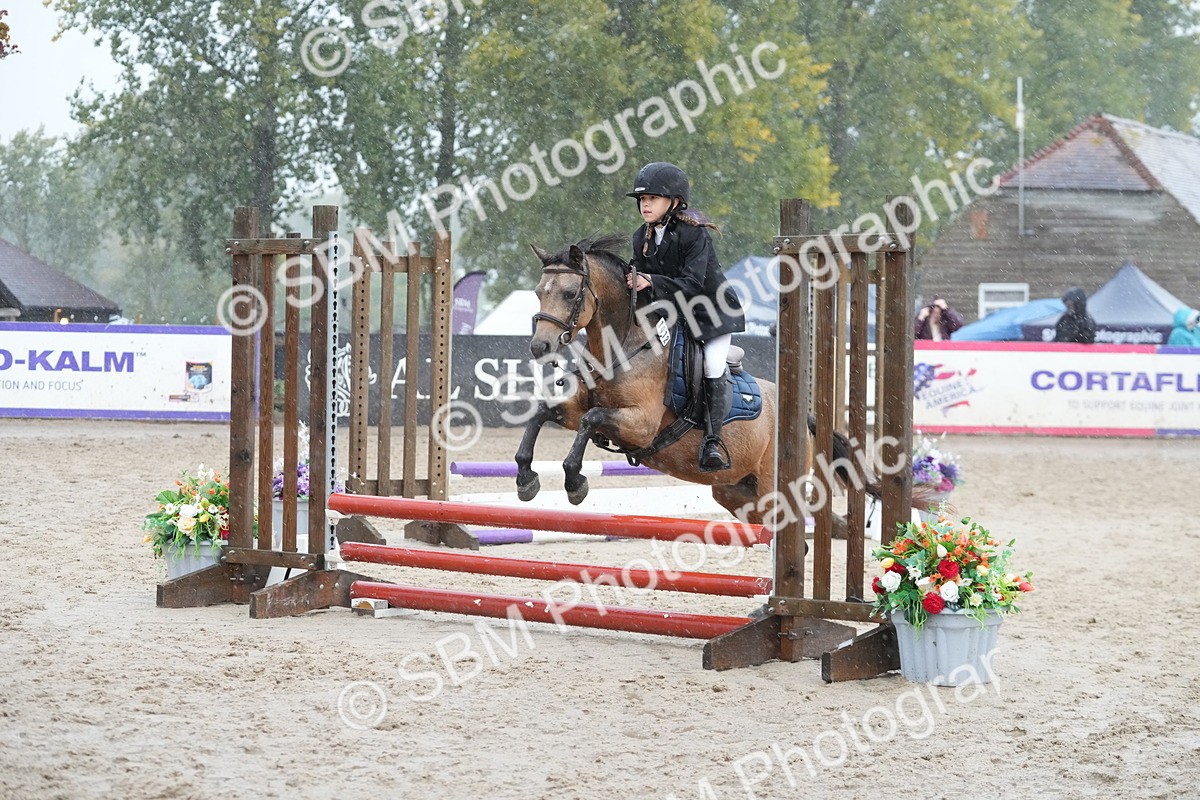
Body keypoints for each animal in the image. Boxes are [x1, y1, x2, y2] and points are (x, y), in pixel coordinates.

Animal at [513, 234, 887, 530]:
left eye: (570, 293)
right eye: (538, 292)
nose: (539, 347)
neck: (624, 346)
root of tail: (805, 418)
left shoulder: (641, 425)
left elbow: (590, 421)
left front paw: (575, 481)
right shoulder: (580, 410)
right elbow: (543, 413)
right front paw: (526, 478)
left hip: (770, 488)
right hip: (735, 492)